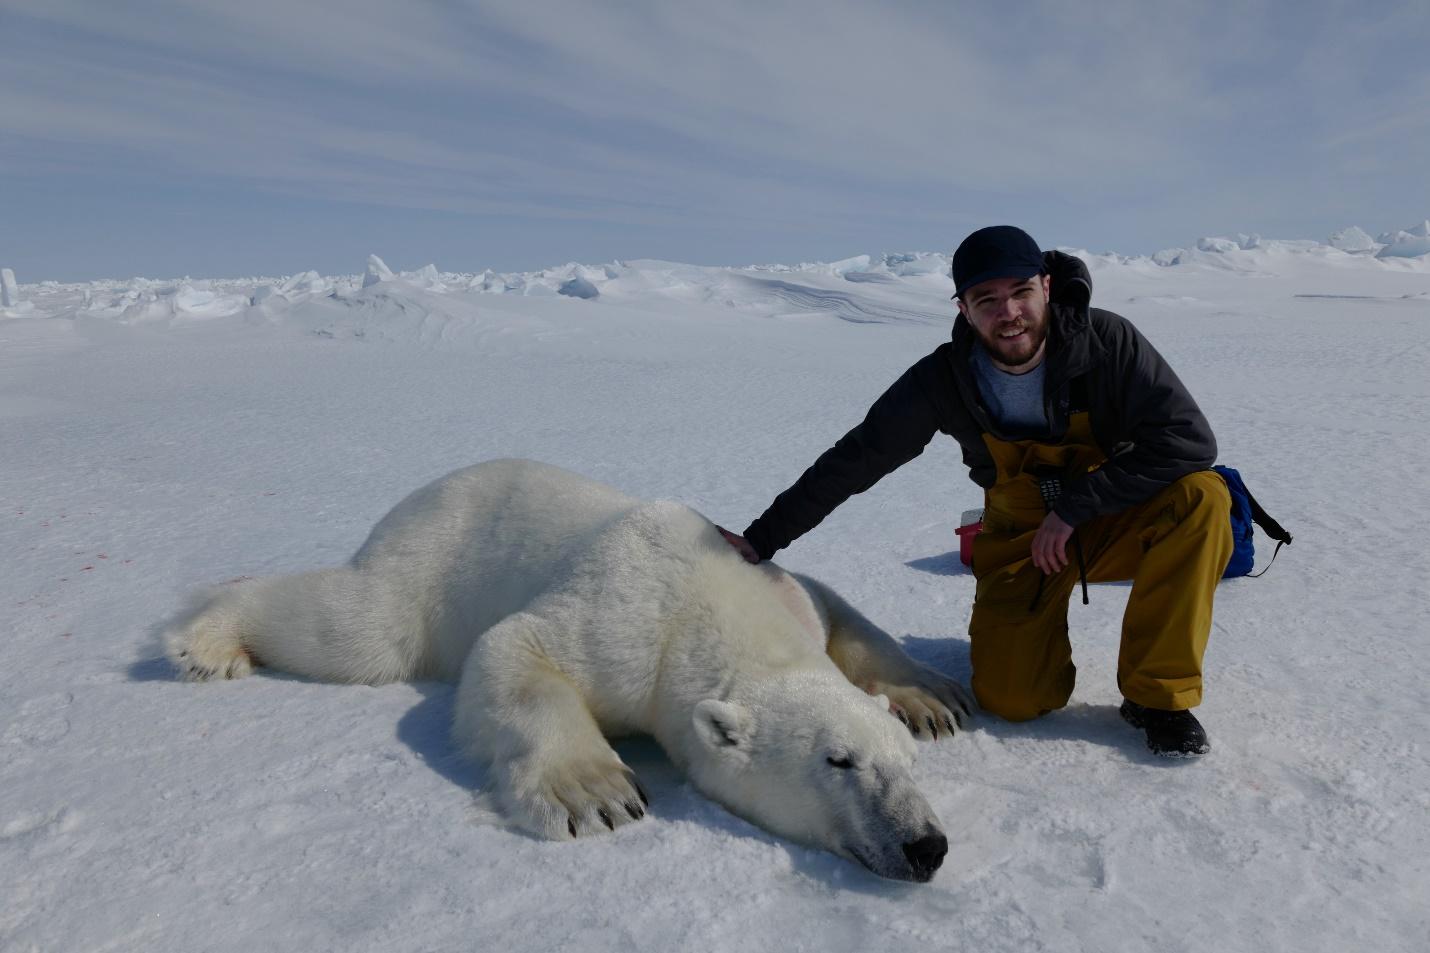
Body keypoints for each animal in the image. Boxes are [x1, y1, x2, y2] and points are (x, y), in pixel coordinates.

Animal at [164, 457, 972, 881]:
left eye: (904, 760)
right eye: (837, 761)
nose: (925, 844)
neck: (716, 603)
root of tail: (426, 489)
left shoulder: (790, 595)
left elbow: (842, 610)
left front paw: (935, 698)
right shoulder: (629, 620)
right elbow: (518, 648)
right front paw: (597, 794)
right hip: (427, 567)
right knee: (353, 628)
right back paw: (206, 639)